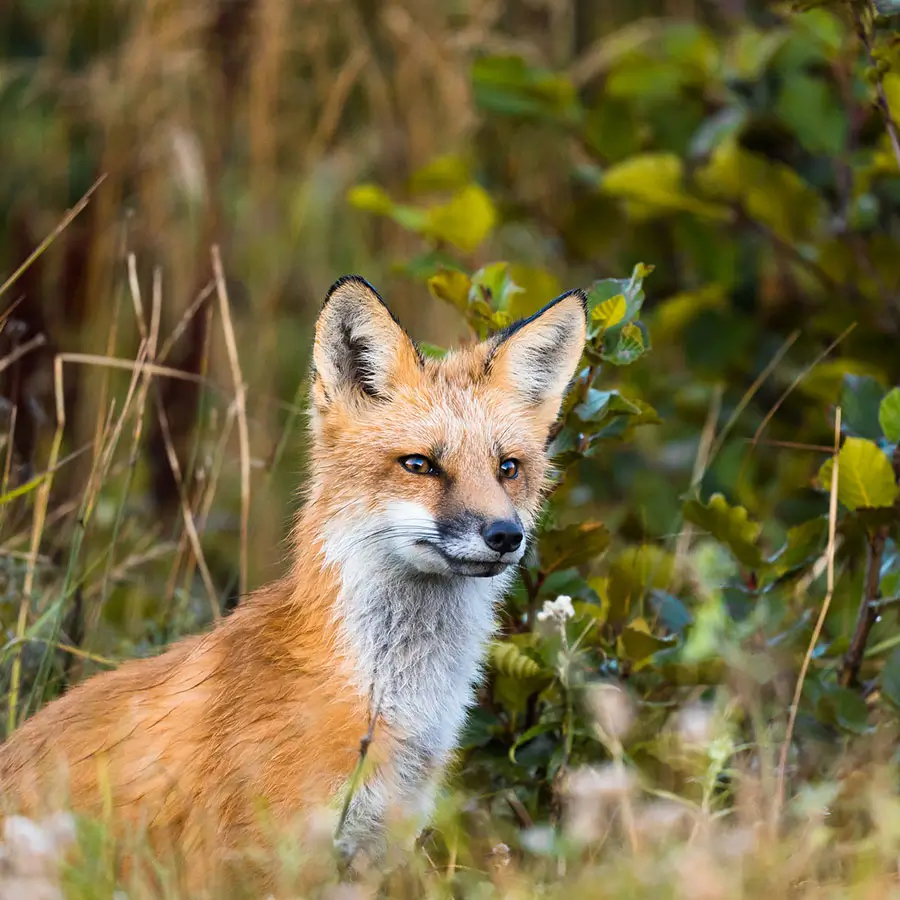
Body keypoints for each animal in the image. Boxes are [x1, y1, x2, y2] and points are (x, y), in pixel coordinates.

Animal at [0, 275, 587, 887]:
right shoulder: (261, 859)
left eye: (508, 468)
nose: (506, 535)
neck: (386, 705)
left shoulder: (374, 851)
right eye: (419, 465)